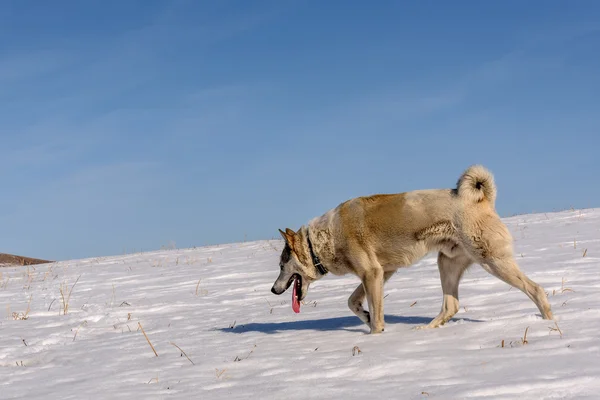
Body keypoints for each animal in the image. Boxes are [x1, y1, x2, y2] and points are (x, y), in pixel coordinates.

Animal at [270, 164, 552, 332]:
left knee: (536, 289)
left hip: (492, 261)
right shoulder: (381, 272)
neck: (321, 240)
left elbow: (375, 316)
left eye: (282, 265)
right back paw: (426, 331)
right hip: (447, 264)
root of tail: (482, 200)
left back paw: (549, 323)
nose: (273, 290)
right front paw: (366, 317)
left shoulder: (372, 273)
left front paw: (375, 335)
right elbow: (353, 302)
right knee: (451, 306)